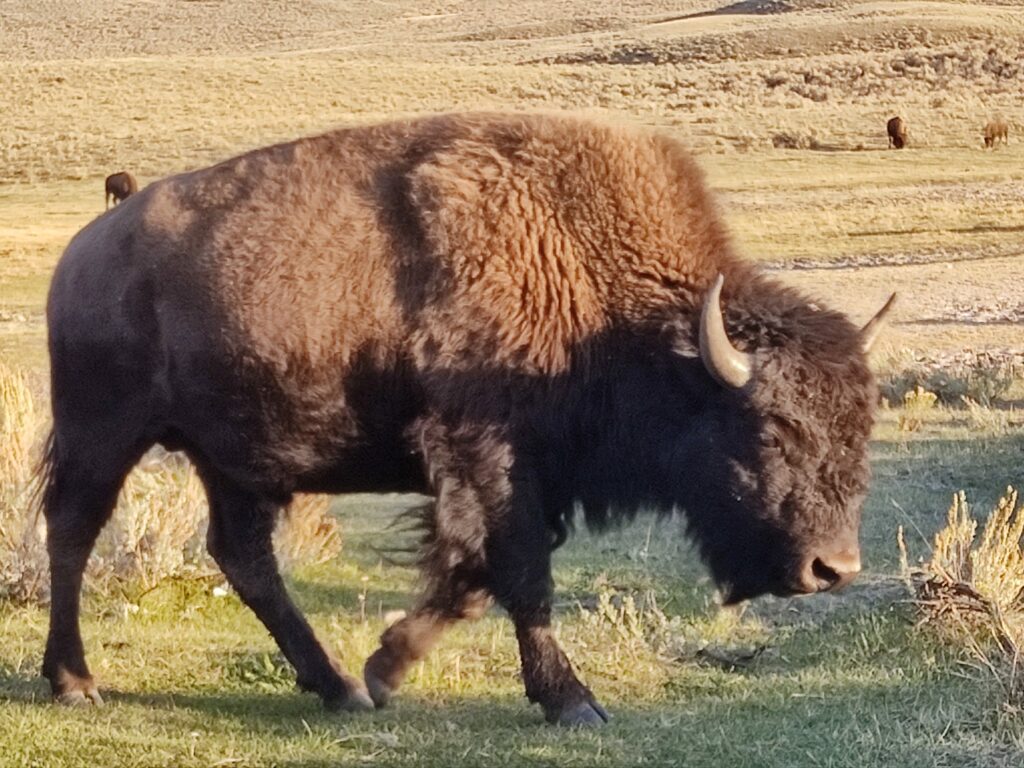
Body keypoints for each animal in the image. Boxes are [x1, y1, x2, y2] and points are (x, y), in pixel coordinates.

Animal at [39, 111, 892, 724]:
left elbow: (477, 577)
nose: (834, 569)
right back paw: (74, 681)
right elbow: (518, 574)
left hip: (233, 464)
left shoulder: (521, 476)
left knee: (243, 557)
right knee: (72, 532)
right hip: (101, 434)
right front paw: (571, 702)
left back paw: (338, 687)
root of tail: (84, 252)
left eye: (860, 428)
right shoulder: (487, 455)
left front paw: (386, 667)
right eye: (771, 429)